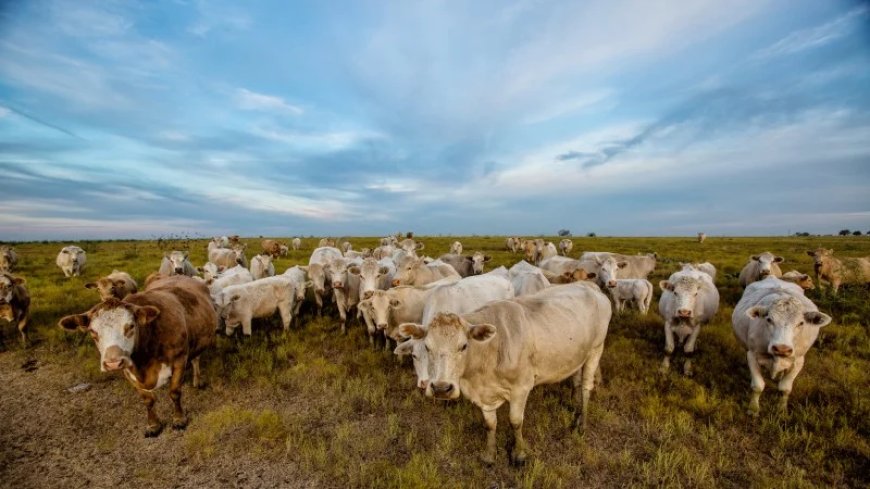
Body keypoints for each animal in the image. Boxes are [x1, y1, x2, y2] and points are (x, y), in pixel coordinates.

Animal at [58, 275, 216, 437]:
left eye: (130, 326)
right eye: (93, 332)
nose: (112, 362)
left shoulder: (180, 359)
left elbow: (175, 392)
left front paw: (179, 419)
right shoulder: (129, 371)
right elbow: (147, 400)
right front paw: (153, 425)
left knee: (196, 359)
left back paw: (197, 381)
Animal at [397, 282, 611, 465]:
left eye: (464, 346)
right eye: (427, 347)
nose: (441, 388)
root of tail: (589, 285)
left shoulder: (521, 388)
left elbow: (515, 422)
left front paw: (519, 455)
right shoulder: (484, 396)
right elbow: (490, 424)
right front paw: (490, 455)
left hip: (596, 349)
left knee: (586, 387)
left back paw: (582, 423)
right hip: (577, 354)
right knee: (576, 379)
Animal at [732, 277, 831, 415]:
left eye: (801, 323)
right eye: (769, 319)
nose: (781, 348)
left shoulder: (798, 361)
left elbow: (785, 388)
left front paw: (781, 409)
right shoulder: (752, 355)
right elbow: (758, 386)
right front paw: (753, 408)